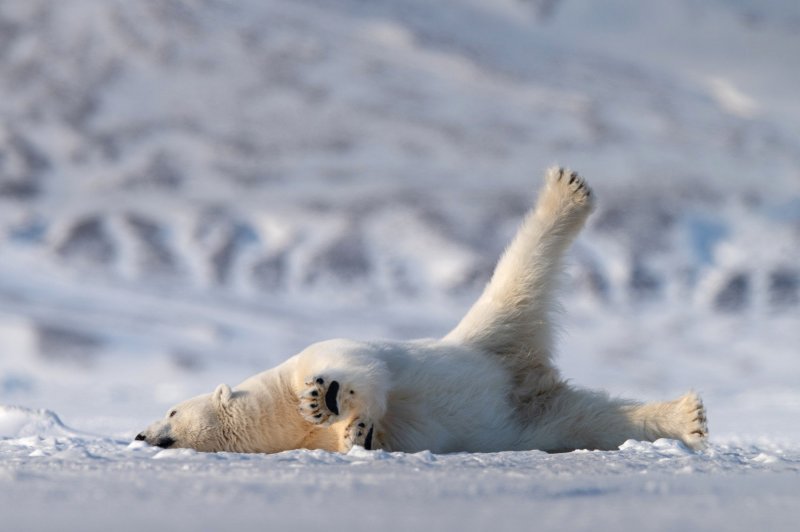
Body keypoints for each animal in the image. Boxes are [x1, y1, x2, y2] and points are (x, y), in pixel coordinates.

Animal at [136, 169, 708, 454]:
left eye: (171, 411)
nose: (141, 435)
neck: (277, 414)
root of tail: (523, 374)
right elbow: (362, 439)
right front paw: (356, 434)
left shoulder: (315, 355)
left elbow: (359, 369)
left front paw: (327, 399)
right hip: (531, 409)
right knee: (591, 420)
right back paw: (688, 418)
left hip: (489, 329)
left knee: (520, 271)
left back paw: (565, 191)